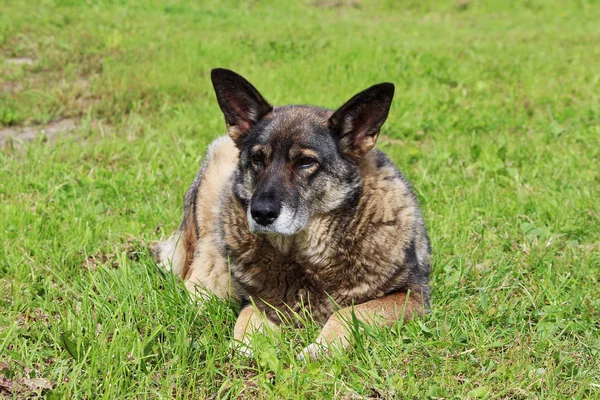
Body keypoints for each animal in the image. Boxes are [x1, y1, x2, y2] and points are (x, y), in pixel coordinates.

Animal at [151, 68, 432, 360]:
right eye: (257, 159)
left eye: (306, 162)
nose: (261, 213)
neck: (304, 258)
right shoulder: (256, 302)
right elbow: (245, 322)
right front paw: (244, 349)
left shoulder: (412, 296)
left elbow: (348, 313)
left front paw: (321, 347)